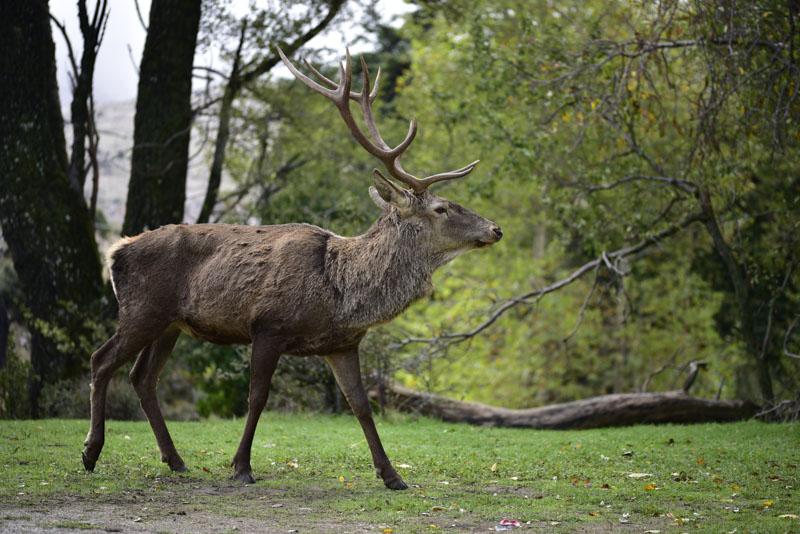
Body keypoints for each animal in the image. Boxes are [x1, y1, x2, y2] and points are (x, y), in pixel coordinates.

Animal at [79, 48, 500, 492]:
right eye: (441, 208)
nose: (495, 229)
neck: (339, 292)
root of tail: (115, 252)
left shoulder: (342, 344)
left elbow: (361, 405)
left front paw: (392, 476)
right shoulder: (268, 325)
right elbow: (257, 397)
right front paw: (241, 466)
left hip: (171, 323)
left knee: (142, 377)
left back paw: (175, 460)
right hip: (143, 309)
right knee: (101, 360)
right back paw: (91, 452)